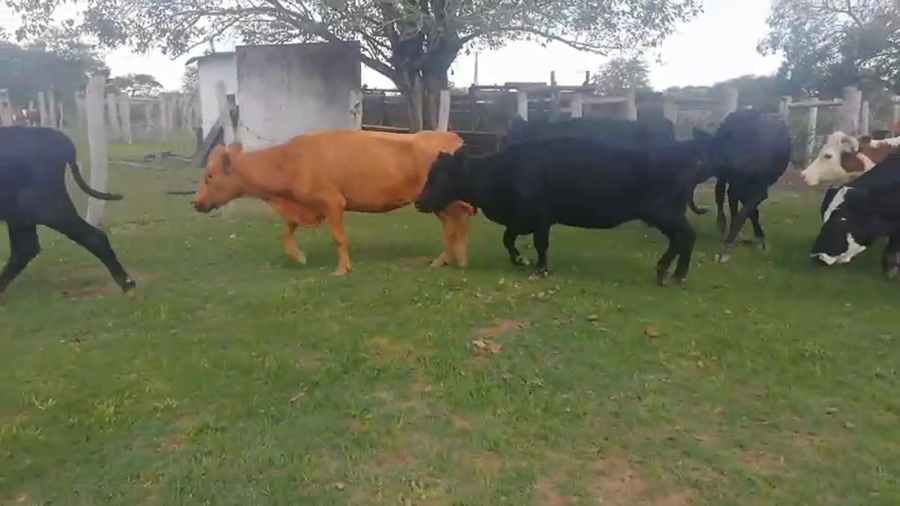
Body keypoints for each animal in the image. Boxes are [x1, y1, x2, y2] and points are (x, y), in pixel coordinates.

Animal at [191, 129, 476, 275]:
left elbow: (339, 238)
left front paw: (342, 269)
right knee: (454, 225)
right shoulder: (306, 204)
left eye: (210, 176)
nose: (196, 203)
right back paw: (448, 259)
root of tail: (451, 136)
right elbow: (286, 231)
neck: (290, 160)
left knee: (459, 221)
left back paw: (455, 258)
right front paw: (298, 256)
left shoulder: (332, 202)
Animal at [413, 133, 714, 286]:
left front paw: (540, 269)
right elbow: (508, 239)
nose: (418, 201)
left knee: (685, 237)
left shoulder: (540, 218)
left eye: (439, 176)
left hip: (665, 213)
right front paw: (520, 260)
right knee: (682, 239)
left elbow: (540, 244)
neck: (502, 170)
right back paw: (671, 273)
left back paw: (671, 273)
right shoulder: (521, 220)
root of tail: (686, 151)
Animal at [702, 109, 792, 262]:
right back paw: (723, 225)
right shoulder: (737, 187)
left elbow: (745, 214)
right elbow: (743, 212)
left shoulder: (758, 192)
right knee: (720, 195)